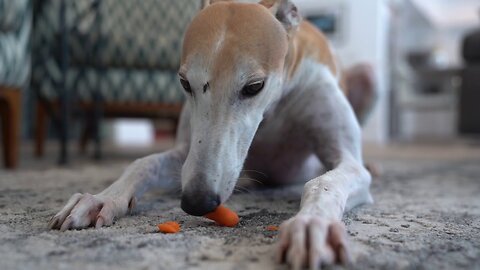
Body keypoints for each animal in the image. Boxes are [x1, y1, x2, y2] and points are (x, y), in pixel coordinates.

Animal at [50, 1, 376, 268]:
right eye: (184, 83)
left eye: (254, 86)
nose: (196, 201)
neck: (273, 110)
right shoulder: (186, 154)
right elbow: (143, 163)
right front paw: (101, 198)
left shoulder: (347, 159)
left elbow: (324, 181)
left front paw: (310, 226)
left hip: (370, 77)